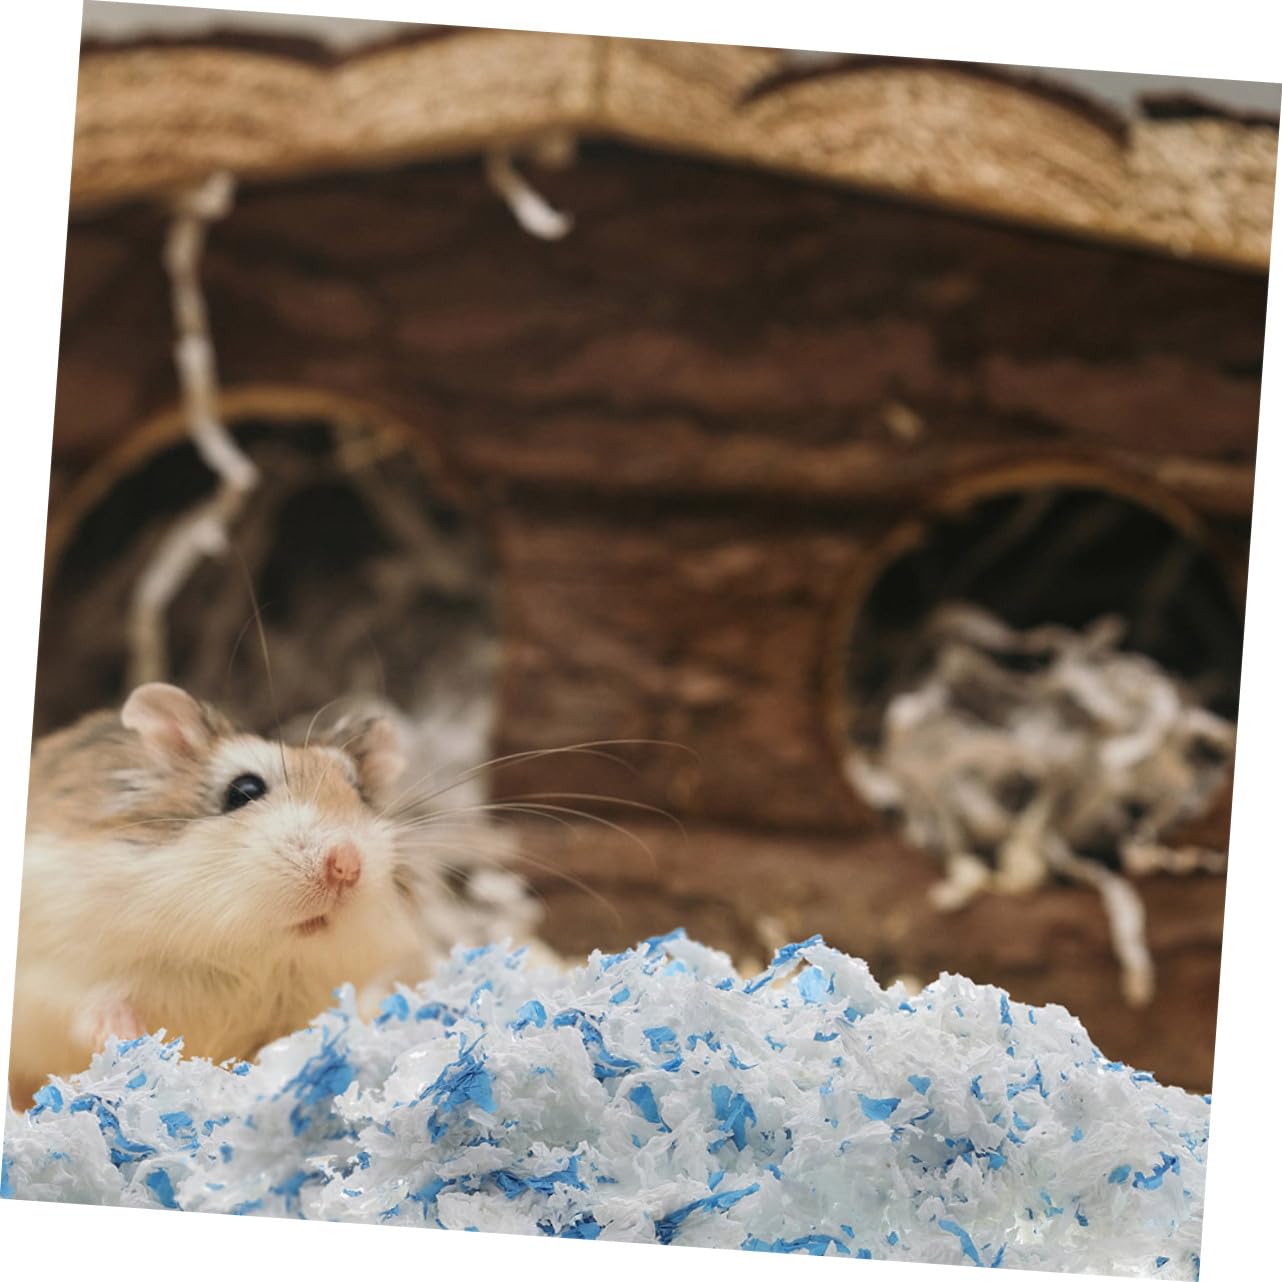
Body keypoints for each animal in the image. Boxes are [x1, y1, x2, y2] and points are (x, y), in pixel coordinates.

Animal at [9, 683, 445, 1108]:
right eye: (244, 790)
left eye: (360, 794)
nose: (346, 865)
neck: (251, 957)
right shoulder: (53, 974)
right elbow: (89, 1005)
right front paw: (131, 1039)